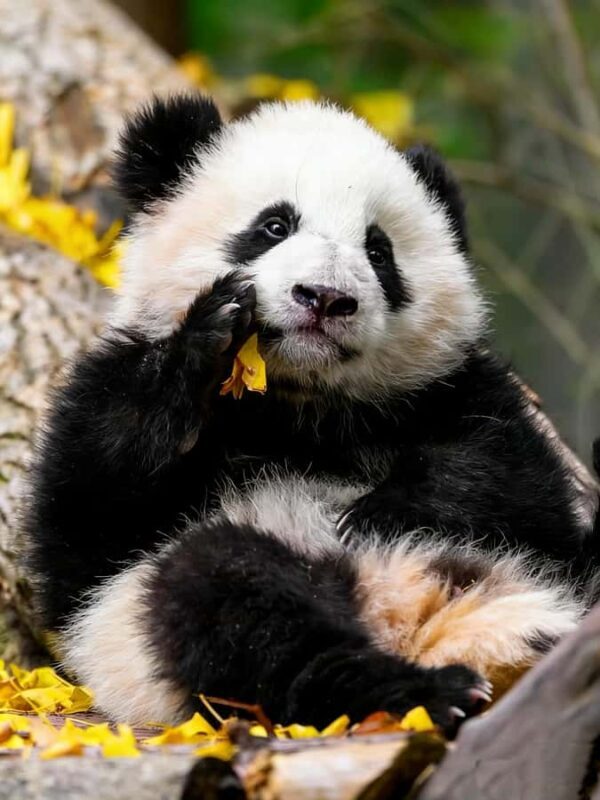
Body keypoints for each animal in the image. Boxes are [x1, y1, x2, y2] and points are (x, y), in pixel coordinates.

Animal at [26, 93, 599, 734]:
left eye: (379, 251)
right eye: (274, 226)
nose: (325, 297)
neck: (297, 403)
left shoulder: (453, 389)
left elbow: (515, 485)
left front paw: (377, 512)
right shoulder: (99, 424)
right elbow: (89, 518)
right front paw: (207, 336)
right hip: (160, 607)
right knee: (231, 602)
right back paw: (421, 691)